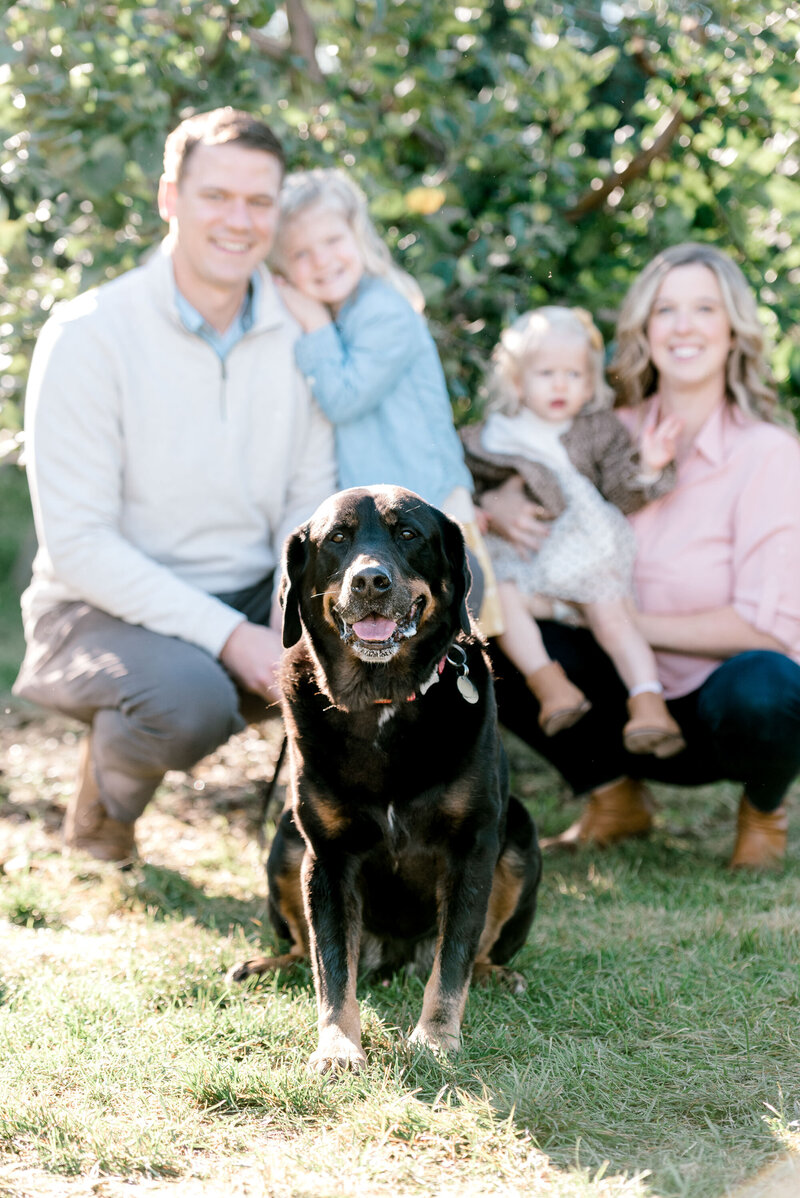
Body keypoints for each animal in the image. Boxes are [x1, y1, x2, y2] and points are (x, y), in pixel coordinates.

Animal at [231, 486, 543, 1078]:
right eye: (337, 538)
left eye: (408, 534)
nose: (370, 581)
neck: (381, 702)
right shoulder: (327, 857)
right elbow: (331, 970)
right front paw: (337, 1047)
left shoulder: (472, 846)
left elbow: (452, 961)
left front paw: (436, 1038)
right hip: (285, 844)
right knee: (305, 948)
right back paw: (270, 965)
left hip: (519, 838)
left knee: (477, 949)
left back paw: (497, 973)